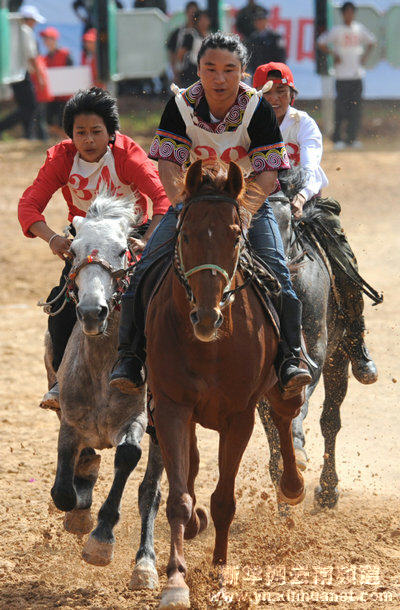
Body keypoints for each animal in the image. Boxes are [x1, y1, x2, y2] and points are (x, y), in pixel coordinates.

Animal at [43, 194, 162, 584]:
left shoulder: (137, 421)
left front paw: (100, 540)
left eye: (124, 250)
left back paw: (145, 564)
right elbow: (64, 489)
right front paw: (79, 509)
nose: (93, 312)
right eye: (74, 250)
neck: (100, 367)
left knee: (151, 493)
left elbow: (127, 457)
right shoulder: (70, 421)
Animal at [147, 159, 306, 604]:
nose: (206, 316)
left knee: (284, 415)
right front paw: (176, 581)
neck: (211, 345)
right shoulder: (171, 405)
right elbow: (179, 497)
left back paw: (292, 486)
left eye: (236, 237)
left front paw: (219, 574)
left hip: (279, 385)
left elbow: (224, 501)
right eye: (184, 234)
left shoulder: (239, 416)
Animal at [260, 172, 346, 508]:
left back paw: (328, 490)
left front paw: (297, 453)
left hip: (340, 359)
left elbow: (298, 397)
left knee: (330, 420)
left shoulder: (316, 355)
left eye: (287, 219)